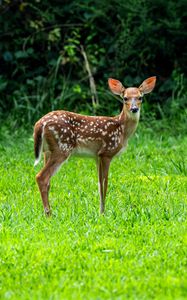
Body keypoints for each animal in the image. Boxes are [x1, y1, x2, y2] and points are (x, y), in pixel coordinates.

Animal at [34, 75, 156, 216]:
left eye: (140, 97)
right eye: (125, 98)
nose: (134, 109)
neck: (122, 130)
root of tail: (40, 123)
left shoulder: (96, 156)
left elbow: (98, 183)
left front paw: (100, 211)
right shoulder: (106, 153)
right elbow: (105, 182)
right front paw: (103, 213)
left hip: (47, 151)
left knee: (48, 181)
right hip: (62, 148)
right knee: (41, 177)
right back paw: (49, 214)